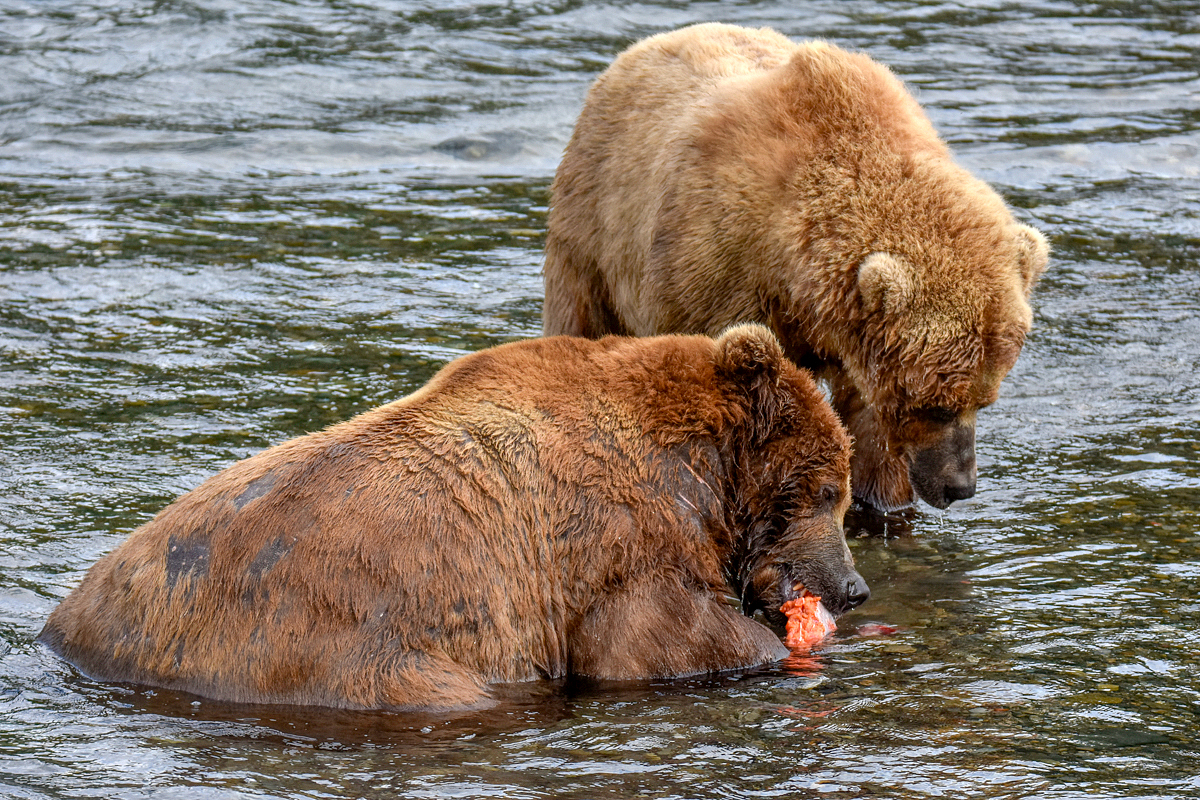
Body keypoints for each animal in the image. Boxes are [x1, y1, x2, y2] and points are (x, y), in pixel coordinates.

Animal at [37, 326, 864, 714]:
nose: (852, 587)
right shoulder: (614, 544)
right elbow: (657, 641)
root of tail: (67, 629)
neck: (699, 477)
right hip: (340, 644)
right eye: (828, 489)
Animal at [544, 23, 1051, 513]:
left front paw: (881, 505)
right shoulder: (713, 275)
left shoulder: (855, 341)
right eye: (937, 405)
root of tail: (644, 46)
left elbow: (869, 434)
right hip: (592, 228)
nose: (960, 486)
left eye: (985, 399)